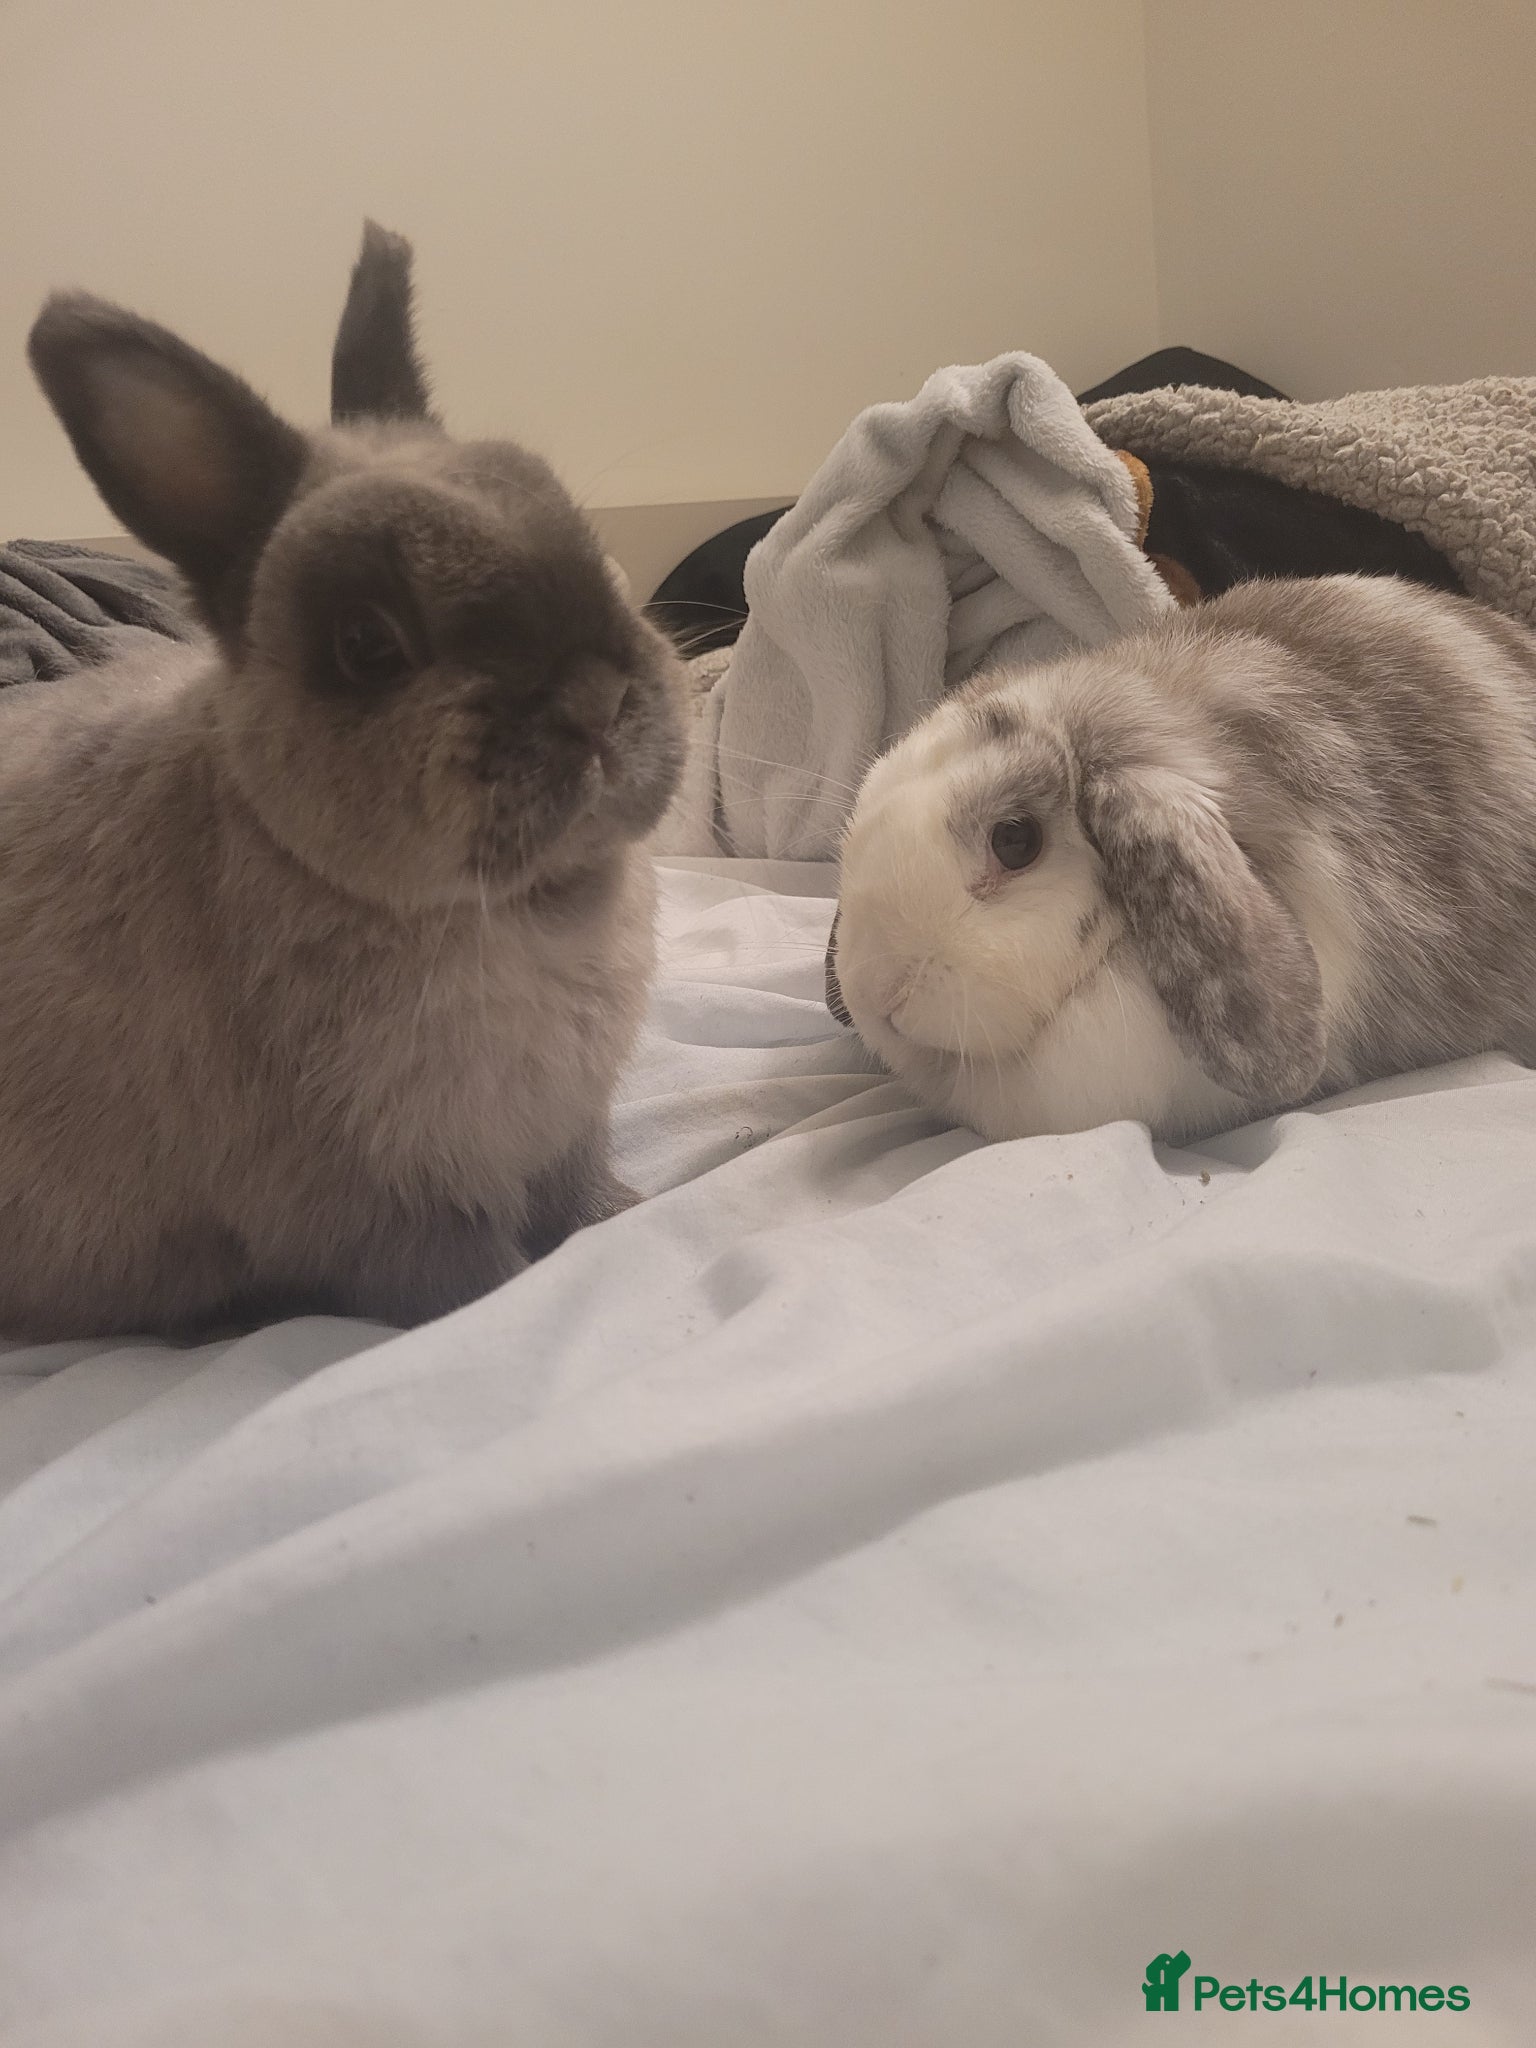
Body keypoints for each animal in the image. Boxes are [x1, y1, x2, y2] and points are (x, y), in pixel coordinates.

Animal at [0, 222, 686, 1338]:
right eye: (366, 645)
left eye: (592, 543)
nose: (593, 698)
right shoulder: (372, 1205)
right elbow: (475, 1278)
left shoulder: (565, 1137)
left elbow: (585, 1202)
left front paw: (633, 1214)